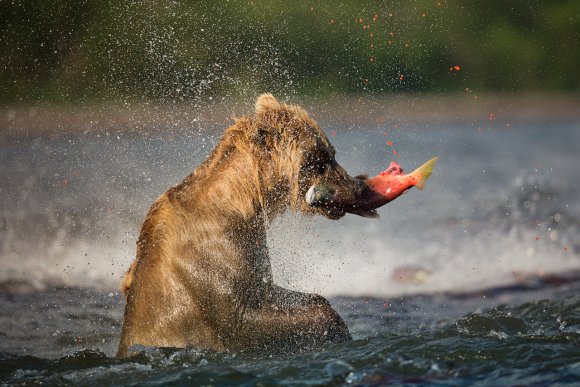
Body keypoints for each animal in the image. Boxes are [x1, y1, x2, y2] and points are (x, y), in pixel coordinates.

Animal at [118, 93, 380, 358]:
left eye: (331, 152)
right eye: (319, 159)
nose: (358, 186)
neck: (239, 206)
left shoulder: (252, 254)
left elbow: (278, 294)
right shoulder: (210, 270)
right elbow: (244, 320)